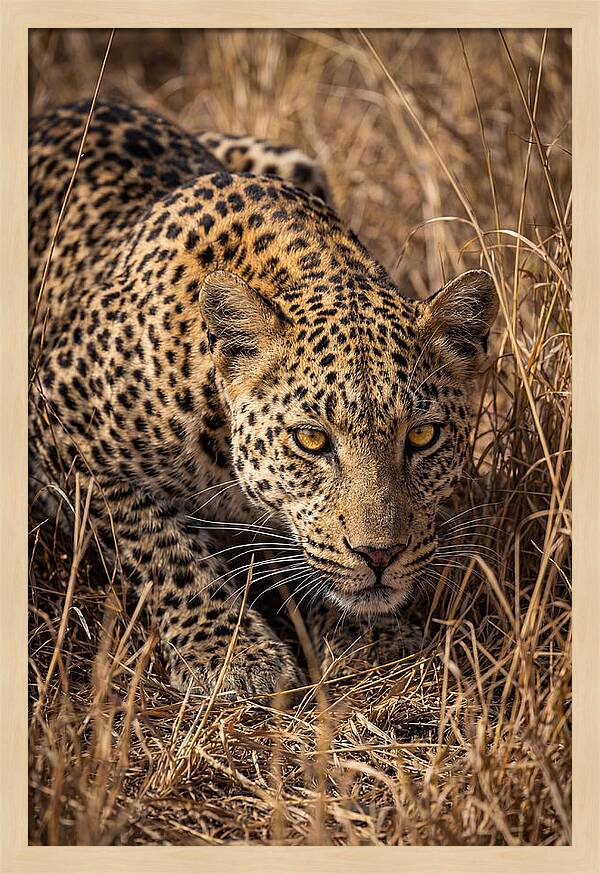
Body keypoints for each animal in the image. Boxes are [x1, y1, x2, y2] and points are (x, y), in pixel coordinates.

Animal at [29, 100, 498, 697]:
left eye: (422, 435)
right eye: (311, 440)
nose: (380, 555)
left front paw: (372, 639)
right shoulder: (58, 420)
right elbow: (159, 546)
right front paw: (232, 654)